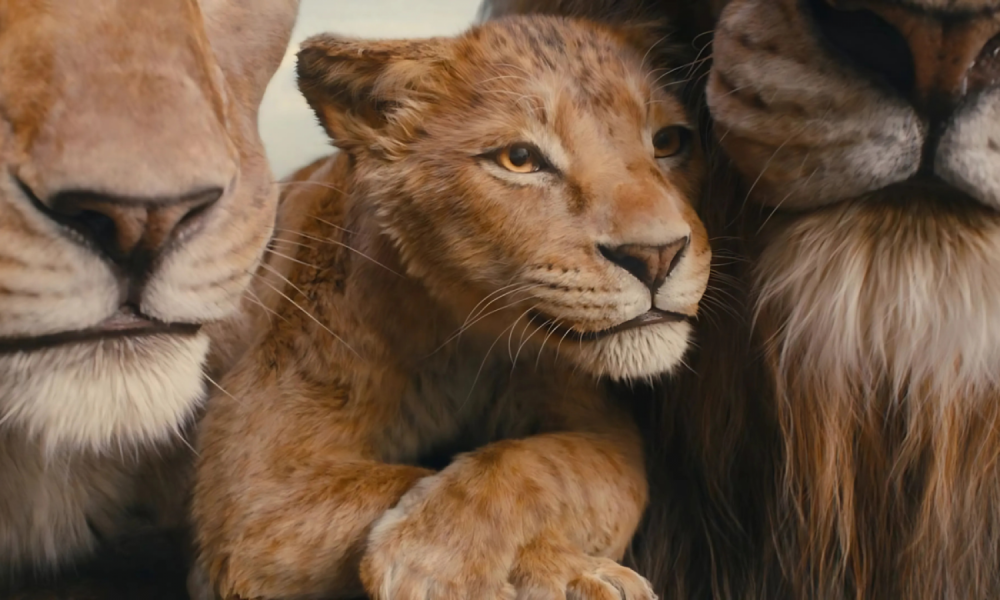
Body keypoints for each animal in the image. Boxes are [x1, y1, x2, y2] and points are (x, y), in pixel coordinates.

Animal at [190, 15, 711, 600]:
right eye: (519, 160)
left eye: (668, 141)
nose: (656, 256)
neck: (465, 338)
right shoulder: (255, 484)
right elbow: (394, 480)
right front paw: (452, 563)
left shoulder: (602, 428)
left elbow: (555, 466)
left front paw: (439, 550)